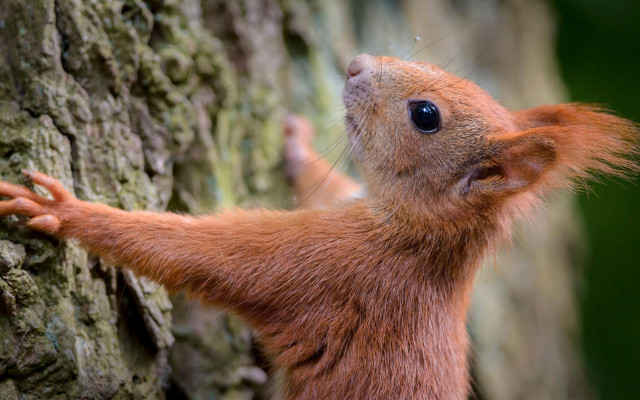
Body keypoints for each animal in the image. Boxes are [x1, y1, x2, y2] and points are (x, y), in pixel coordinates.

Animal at [0, 54, 637, 400]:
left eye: (425, 115)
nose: (354, 64)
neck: (416, 231)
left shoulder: (331, 265)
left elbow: (204, 255)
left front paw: (69, 211)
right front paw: (296, 145)